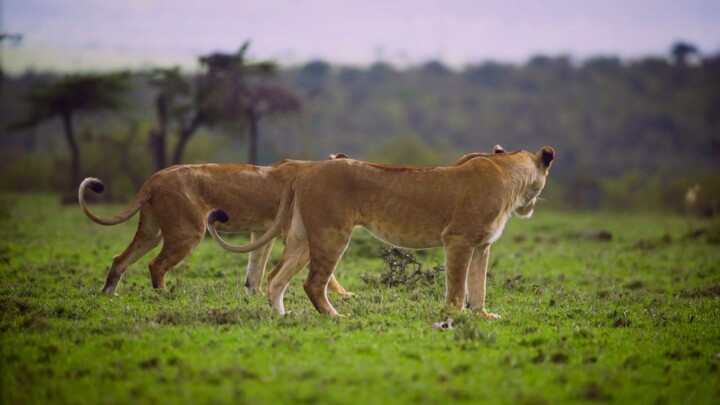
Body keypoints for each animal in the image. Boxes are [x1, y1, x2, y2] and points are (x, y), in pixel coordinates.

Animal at [78, 154, 352, 295]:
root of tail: (155, 177)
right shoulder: (294, 234)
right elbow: (327, 272)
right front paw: (344, 295)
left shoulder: (262, 231)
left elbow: (256, 267)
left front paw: (255, 294)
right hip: (189, 232)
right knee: (156, 265)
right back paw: (164, 295)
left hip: (150, 232)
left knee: (120, 259)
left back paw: (108, 294)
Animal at [206, 146, 554, 318]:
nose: (533, 206)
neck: (510, 176)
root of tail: (307, 169)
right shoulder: (458, 239)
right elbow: (458, 288)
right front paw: (458, 318)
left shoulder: (482, 246)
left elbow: (479, 286)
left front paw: (483, 315)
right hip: (332, 233)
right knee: (313, 283)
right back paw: (336, 317)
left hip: (303, 237)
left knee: (276, 277)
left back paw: (282, 316)